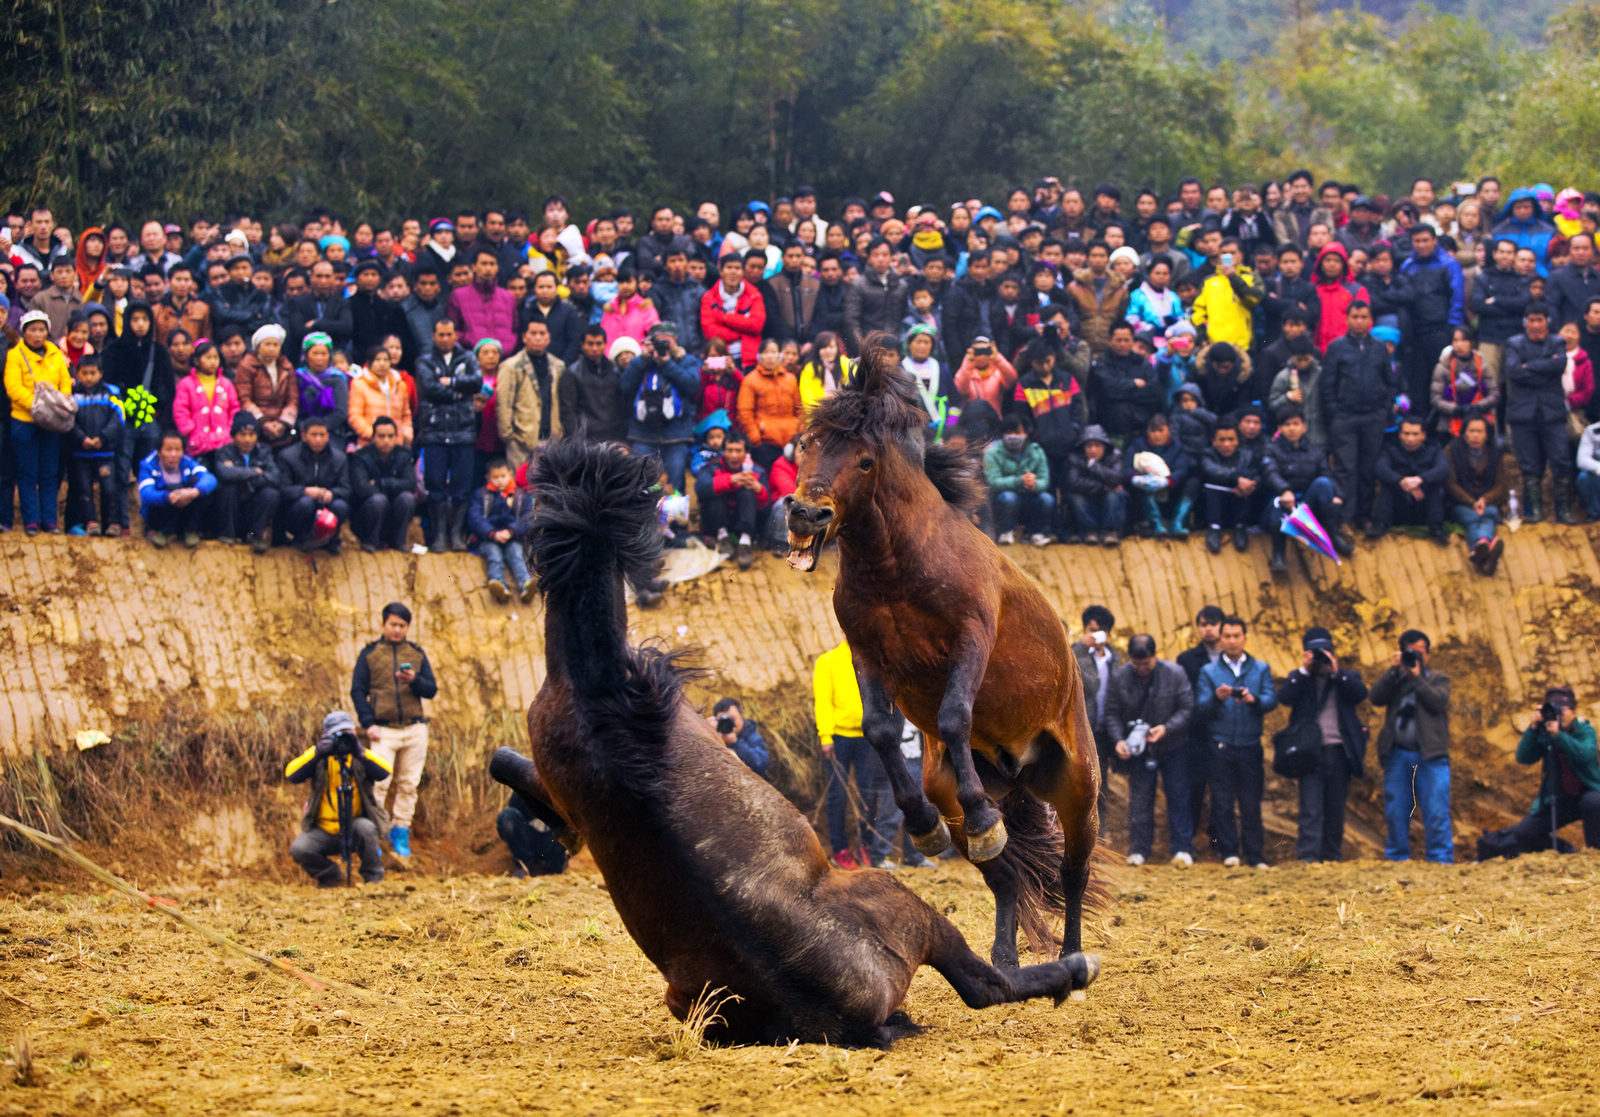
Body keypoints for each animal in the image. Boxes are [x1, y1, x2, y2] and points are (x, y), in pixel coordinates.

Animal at [784, 345, 1100, 966]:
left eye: (864, 461)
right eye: (807, 443)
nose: (806, 514)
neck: (897, 566)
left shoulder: (971, 637)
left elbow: (955, 715)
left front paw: (979, 818)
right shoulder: (866, 653)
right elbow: (880, 730)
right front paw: (923, 824)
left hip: (1079, 781)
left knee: (1072, 872)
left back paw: (1071, 957)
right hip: (951, 781)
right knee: (1004, 874)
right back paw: (1004, 957)